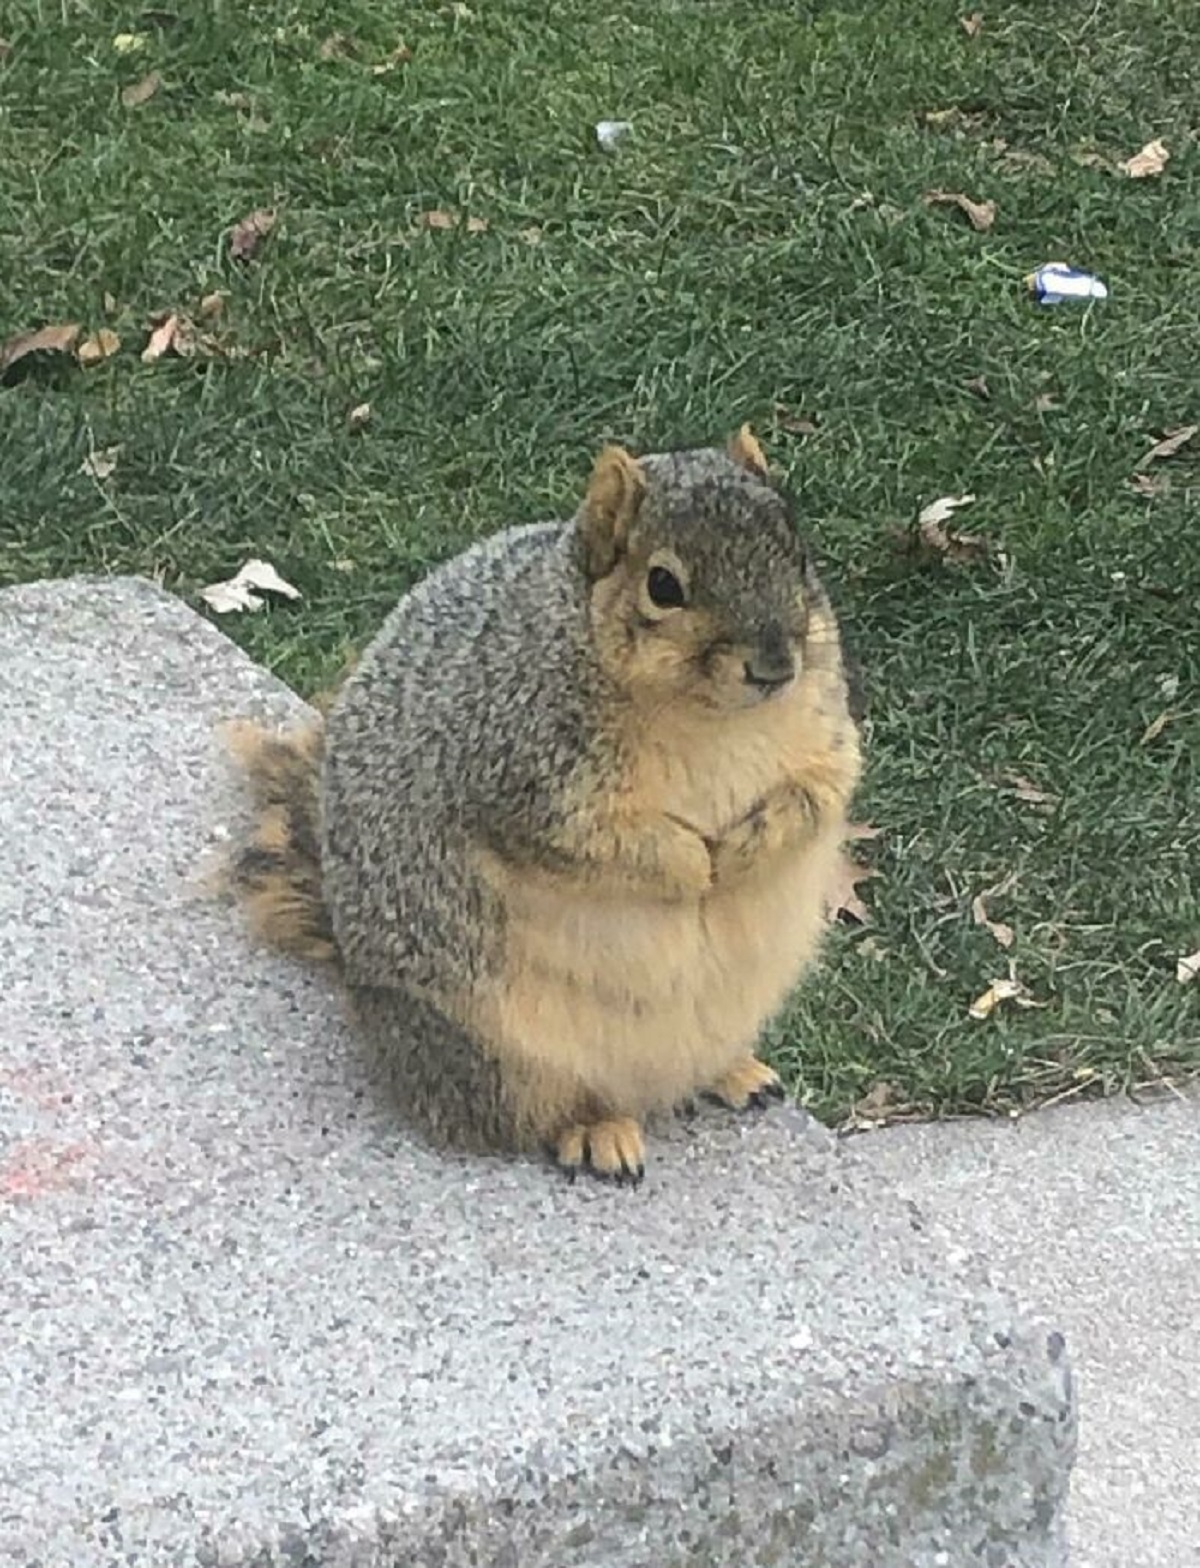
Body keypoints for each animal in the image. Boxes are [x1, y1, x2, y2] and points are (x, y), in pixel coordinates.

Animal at [227, 423, 859, 1179]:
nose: (774, 666)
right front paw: (696, 869)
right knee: (537, 1114)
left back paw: (734, 1074)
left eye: (798, 552)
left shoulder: (827, 731)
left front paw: (741, 853)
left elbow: (820, 794)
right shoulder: (522, 776)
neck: (711, 718)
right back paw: (597, 1133)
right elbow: (598, 845)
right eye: (663, 585)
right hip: (501, 1056)